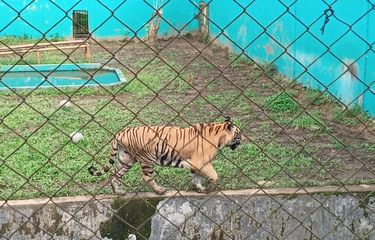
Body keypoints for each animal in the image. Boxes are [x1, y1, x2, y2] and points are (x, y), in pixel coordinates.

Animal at [88, 116, 241, 195]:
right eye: (239, 133)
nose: (243, 139)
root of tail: (121, 133)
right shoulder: (201, 162)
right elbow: (214, 175)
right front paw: (209, 188)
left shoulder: (195, 164)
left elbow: (196, 177)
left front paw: (199, 189)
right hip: (147, 159)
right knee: (146, 177)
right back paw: (160, 190)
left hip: (126, 159)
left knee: (115, 174)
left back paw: (118, 192)